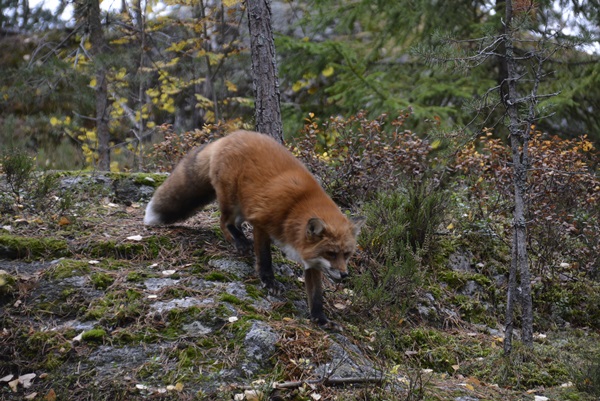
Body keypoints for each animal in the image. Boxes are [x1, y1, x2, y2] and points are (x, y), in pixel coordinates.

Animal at [144, 130, 366, 328]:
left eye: (346, 254)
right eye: (331, 253)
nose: (345, 275)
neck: (295, 208)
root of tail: (227, 137)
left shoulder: (311, 261)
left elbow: (316, 294)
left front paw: (321, 320)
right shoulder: (261, 223)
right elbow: (265, 259)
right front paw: (269, 282)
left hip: (244, 205)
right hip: (232, 200)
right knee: (224, 222)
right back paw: (240, 242)